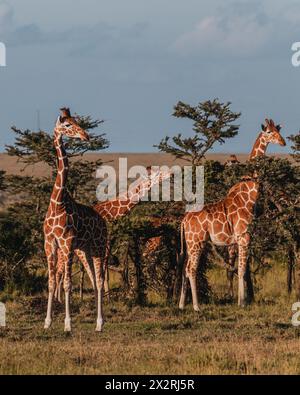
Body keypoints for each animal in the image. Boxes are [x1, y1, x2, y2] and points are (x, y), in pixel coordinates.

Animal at [42, 106, 107, 332]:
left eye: (78, 121)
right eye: (68, 124)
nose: (86, 135)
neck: (57, 202)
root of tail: (103, 222)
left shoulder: (67, 243)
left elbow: (67, 283)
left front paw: (68, 324)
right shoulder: (50, 243)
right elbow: (52, 282)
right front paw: (47, 322)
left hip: (98, 247)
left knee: (100, 280)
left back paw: (100, 323)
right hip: (85, 250)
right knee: (95, 281)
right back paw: (97, 322)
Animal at [178, 119, 286, 310]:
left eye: (278, 131)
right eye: (268, 132)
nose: (283, 142)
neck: (248, 196)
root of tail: (184, 220)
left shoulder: (237, 241)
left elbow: (237, 270)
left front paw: (241, 300)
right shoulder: (244, 237)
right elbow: (241, 270)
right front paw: (241, 302)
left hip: (192, 244)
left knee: (185, 268)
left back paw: (182, 305)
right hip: (196, 242)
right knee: (191, 269)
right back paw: (197, 306)